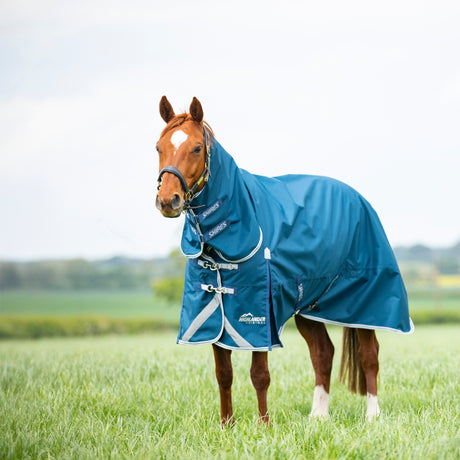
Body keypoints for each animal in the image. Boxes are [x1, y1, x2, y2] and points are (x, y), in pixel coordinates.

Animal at [155, 96, 380, 424]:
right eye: (158, 147)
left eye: (196, 148)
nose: (167, 200)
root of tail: (358, 198)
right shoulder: (217, 310)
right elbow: (224, 374)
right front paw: (227, 425)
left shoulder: (259, 311)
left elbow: (259, 373)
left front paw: (263, 425)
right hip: (308, 307)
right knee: (323, 353)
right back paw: (318, 416)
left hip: (365, 302)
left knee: (369, 354)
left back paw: (372, 416)